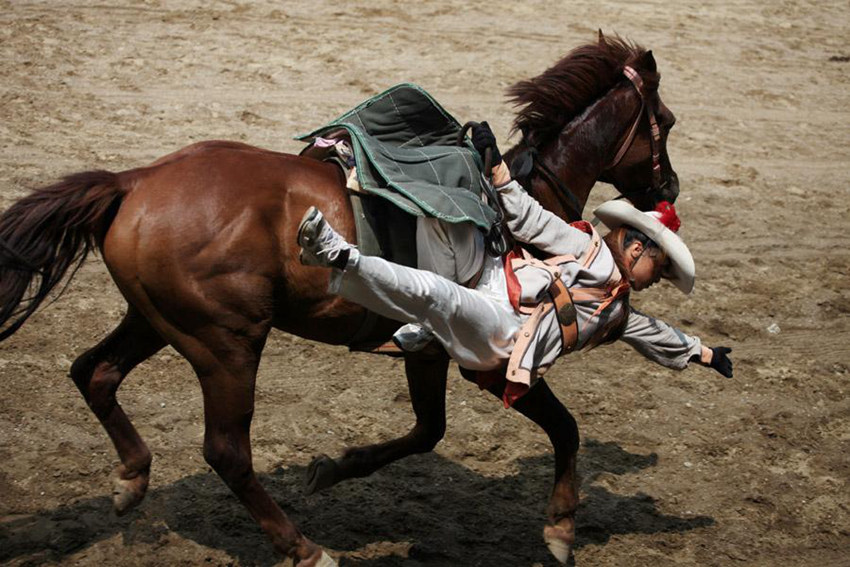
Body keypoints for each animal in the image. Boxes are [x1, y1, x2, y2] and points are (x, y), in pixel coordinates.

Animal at [0, 35, 676, 567]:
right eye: (665, 122)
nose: (669, 187)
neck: (524, 213)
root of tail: (134, 181)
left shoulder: (426, 351)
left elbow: (428, 430)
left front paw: (334, 468)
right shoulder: (487, 359)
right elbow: (562, 428)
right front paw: (560, 527)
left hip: (156, 320)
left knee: (94, 372)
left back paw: (131, 479)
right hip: (227, 344)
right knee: (225, 450)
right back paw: (301, 548)